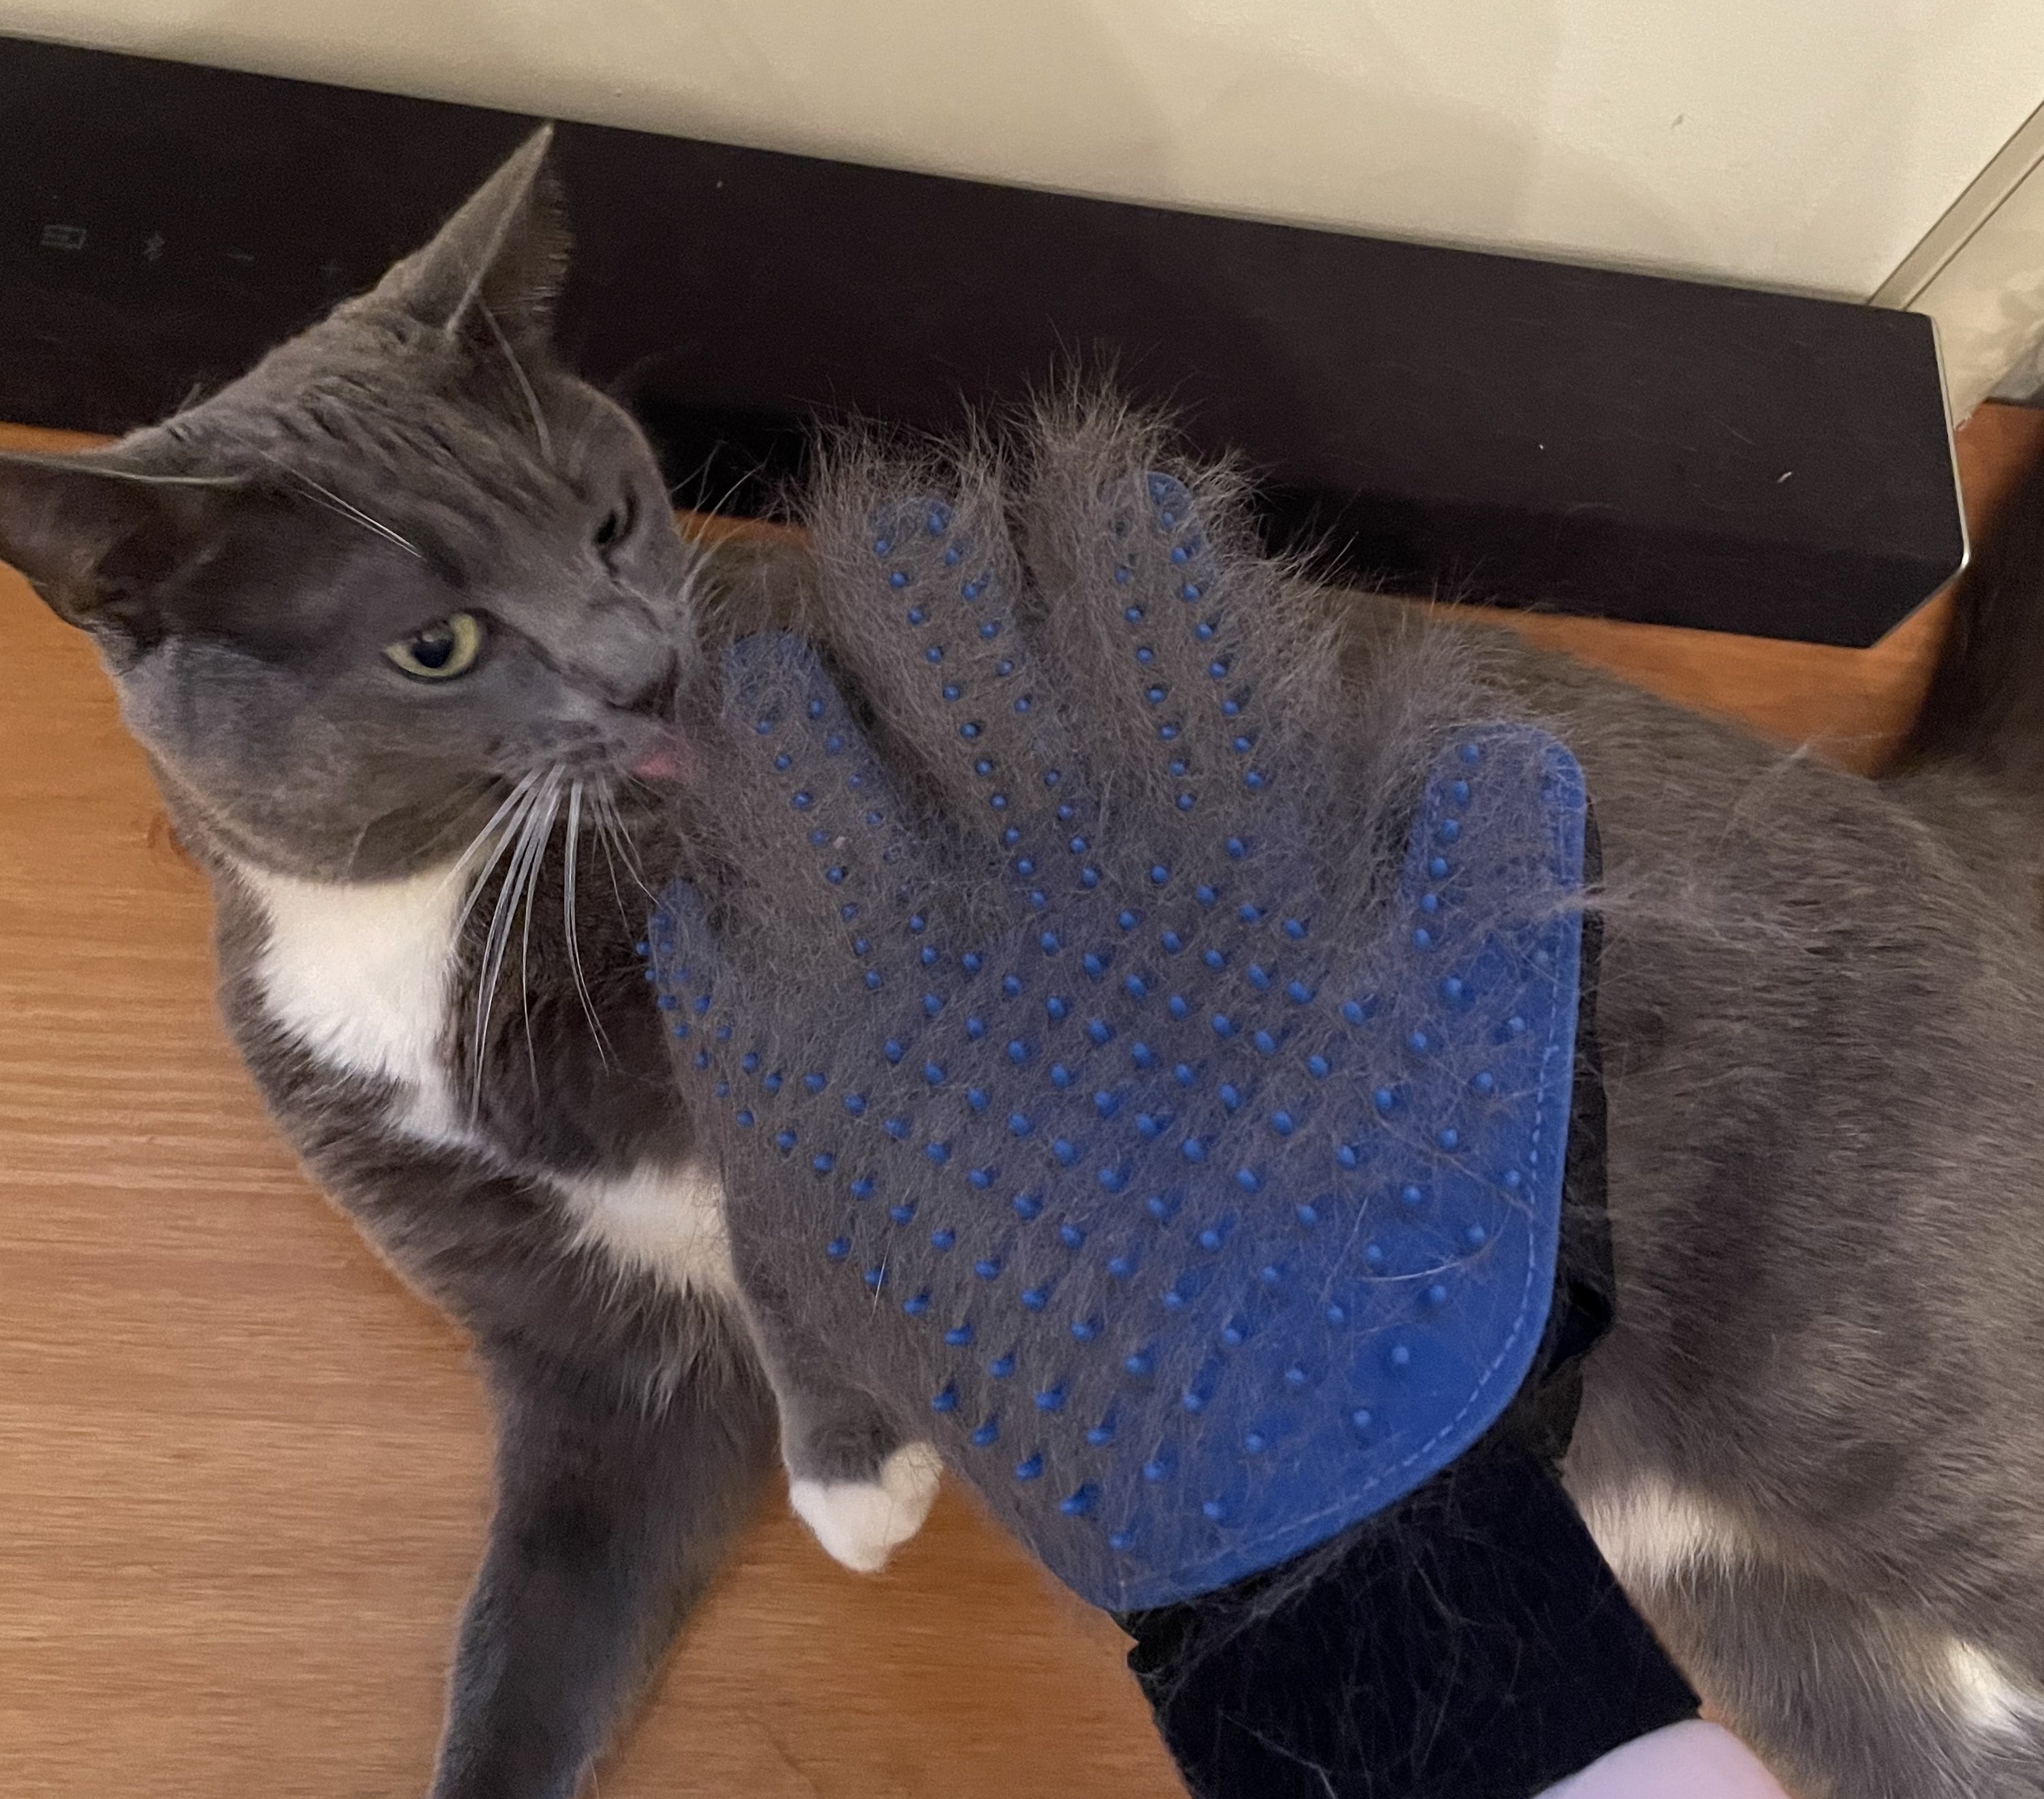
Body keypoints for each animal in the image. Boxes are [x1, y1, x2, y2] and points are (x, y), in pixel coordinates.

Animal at [3, 127, 2044, 1799]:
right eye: (437, 643)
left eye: (608, 519)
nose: (644, 669)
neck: (439, 910)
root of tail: (1947, 830)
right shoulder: (591, 1371)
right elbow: (533, 1646)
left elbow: (783, 1162)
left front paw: (854, 1470)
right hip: (1754, 1587)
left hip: (1865, 1385)